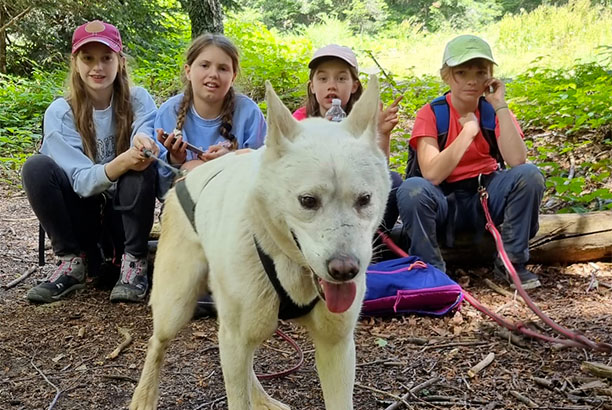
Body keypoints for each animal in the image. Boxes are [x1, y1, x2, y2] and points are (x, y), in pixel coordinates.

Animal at [130, 75, 392, 408]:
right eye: (308, 201)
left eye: (364, 199)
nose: (345, 270)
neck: (288, 263)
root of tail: (182, 179)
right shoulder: (235, 337)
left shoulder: (337, 345)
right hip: (176, 306)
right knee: (158, 343)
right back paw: (144, 396)